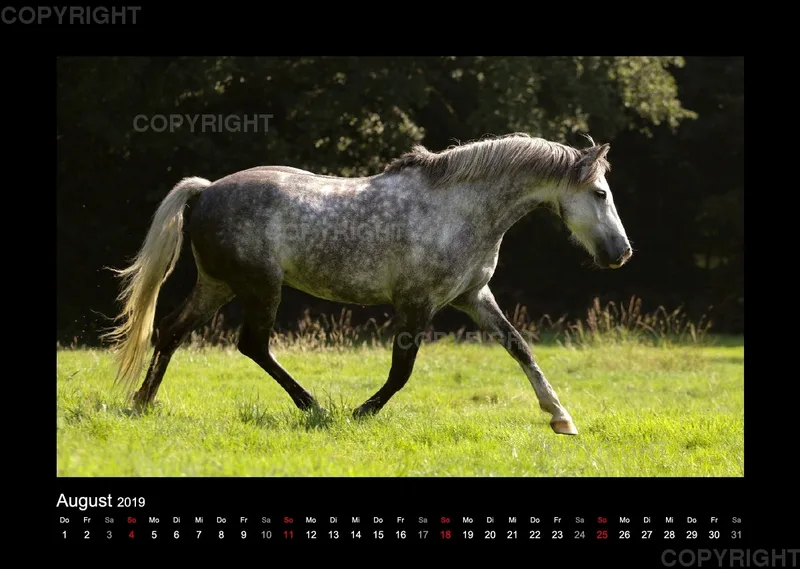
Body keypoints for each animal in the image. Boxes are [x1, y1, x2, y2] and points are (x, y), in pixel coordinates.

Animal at [102, 132, 632, 436]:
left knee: (172, 330)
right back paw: (314, 407)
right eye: (599, 193)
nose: (621, 253)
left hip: (219, 285)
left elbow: (521, 348)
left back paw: (143, 402)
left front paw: (561, 418)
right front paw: (361, 413)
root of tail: (207, 189)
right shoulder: (417, 303)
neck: (460, 211)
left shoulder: (473, 297)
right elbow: (401, 372)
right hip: (259, 287)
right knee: (252, 344)